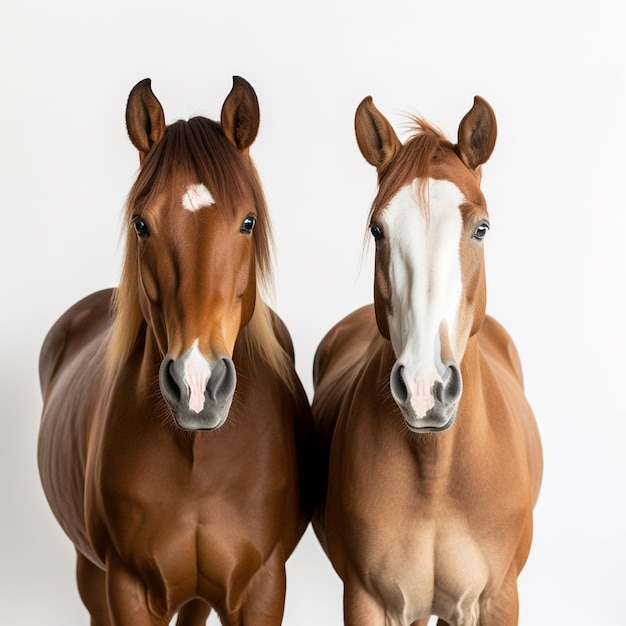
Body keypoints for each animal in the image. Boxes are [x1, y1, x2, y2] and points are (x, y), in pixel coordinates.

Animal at [35, 75, 312, 620]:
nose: (197, 383)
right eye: (142, 223)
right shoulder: (126, 588)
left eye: (248, 221)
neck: (198, 459)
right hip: (90, 575)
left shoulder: (262, 588)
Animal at [312, 94, 540, 624]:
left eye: (481, 228)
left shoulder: (497, 600)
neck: (436, 474)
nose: (424, 387)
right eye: (377, 229)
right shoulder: (369, 601)